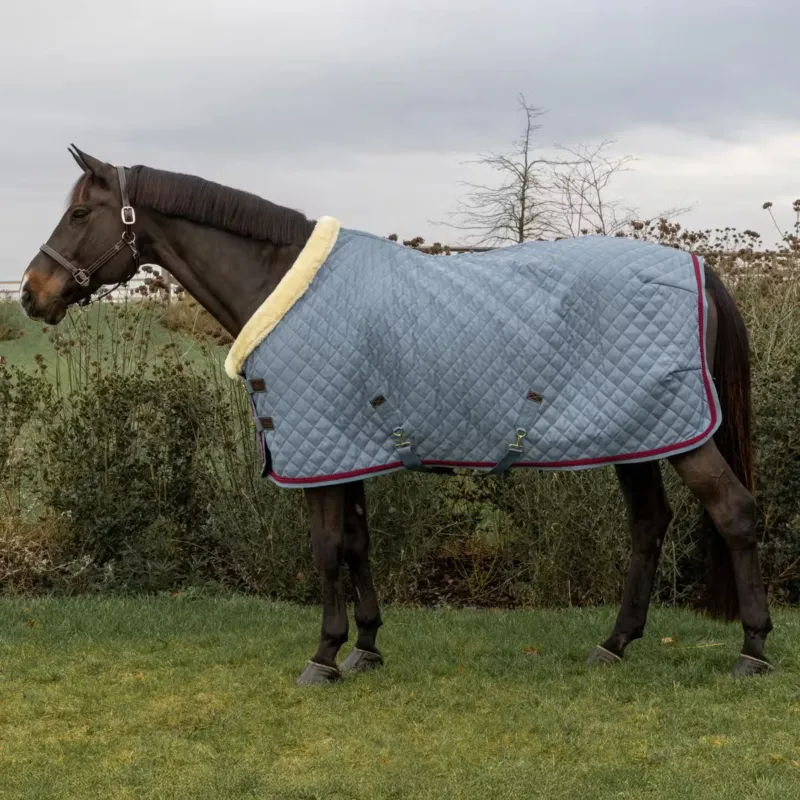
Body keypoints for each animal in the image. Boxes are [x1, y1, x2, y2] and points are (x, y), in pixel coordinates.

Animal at [20, 146, 773, 684]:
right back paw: (614, 644)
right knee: (649, 525)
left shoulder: (320, 448)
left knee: (734, 513)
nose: (32, 292)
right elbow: (357, 544)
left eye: (80, 215)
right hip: (636, 435)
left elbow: (326, 549)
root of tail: (700, 270)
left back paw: (753, 650)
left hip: (677, 438)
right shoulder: (345, 448)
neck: (285, 286)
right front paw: (366, 648)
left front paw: (322, 657)